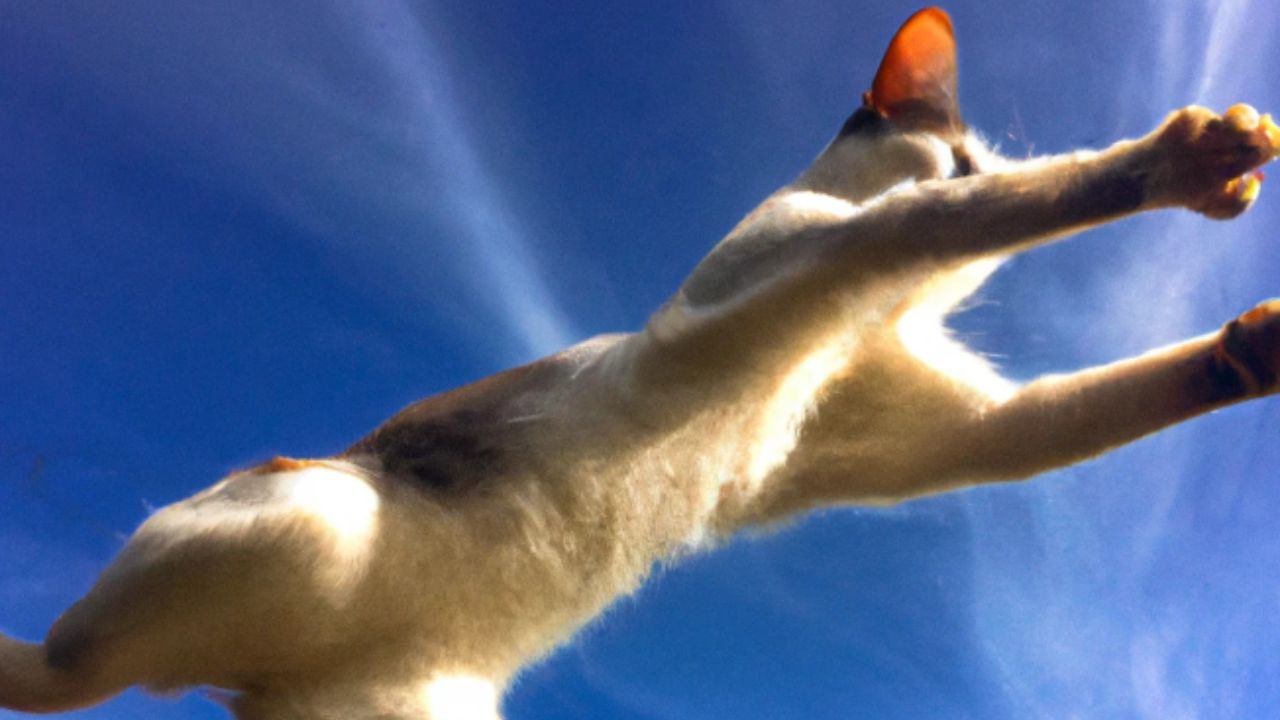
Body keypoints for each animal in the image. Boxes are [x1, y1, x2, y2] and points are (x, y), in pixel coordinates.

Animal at [2, 7, 1280, 717]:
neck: (859, 326)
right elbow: (999, 209)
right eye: (958, 162)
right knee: (64, 674)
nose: (962, 181)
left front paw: (1252, 345)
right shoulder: (826, 252)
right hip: (317, 512)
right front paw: (1190, 159)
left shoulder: (947, 434)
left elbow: (1087, 408)